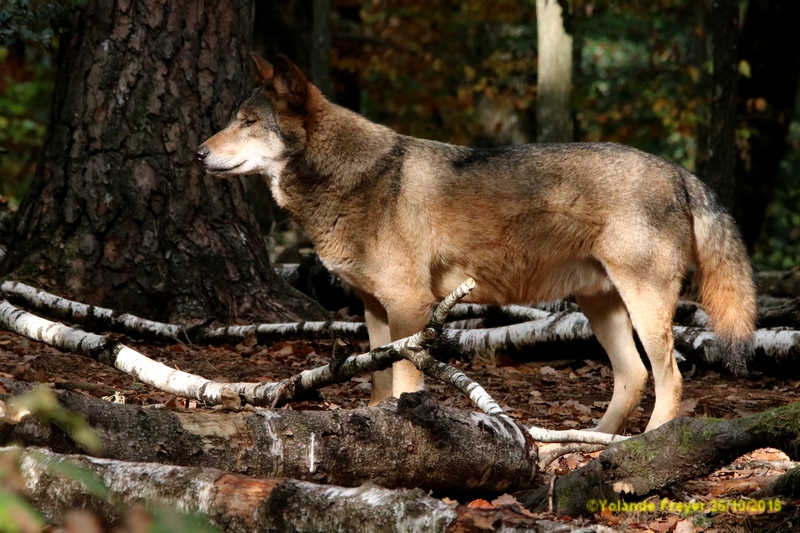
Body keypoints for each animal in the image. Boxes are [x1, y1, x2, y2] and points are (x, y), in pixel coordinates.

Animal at [198, 55, 756, 432]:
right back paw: (589, 445)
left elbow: (405, 382)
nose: (197, 152)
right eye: (233, 120)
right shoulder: (374, 308)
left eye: (248, 123)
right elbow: (379, 377)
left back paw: (646, 445)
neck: (352, 179)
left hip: (642, 305)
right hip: (600, 306)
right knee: (635, 376)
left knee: (671, 379)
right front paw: (374, 425)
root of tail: (681, 173)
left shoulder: (408, 305)